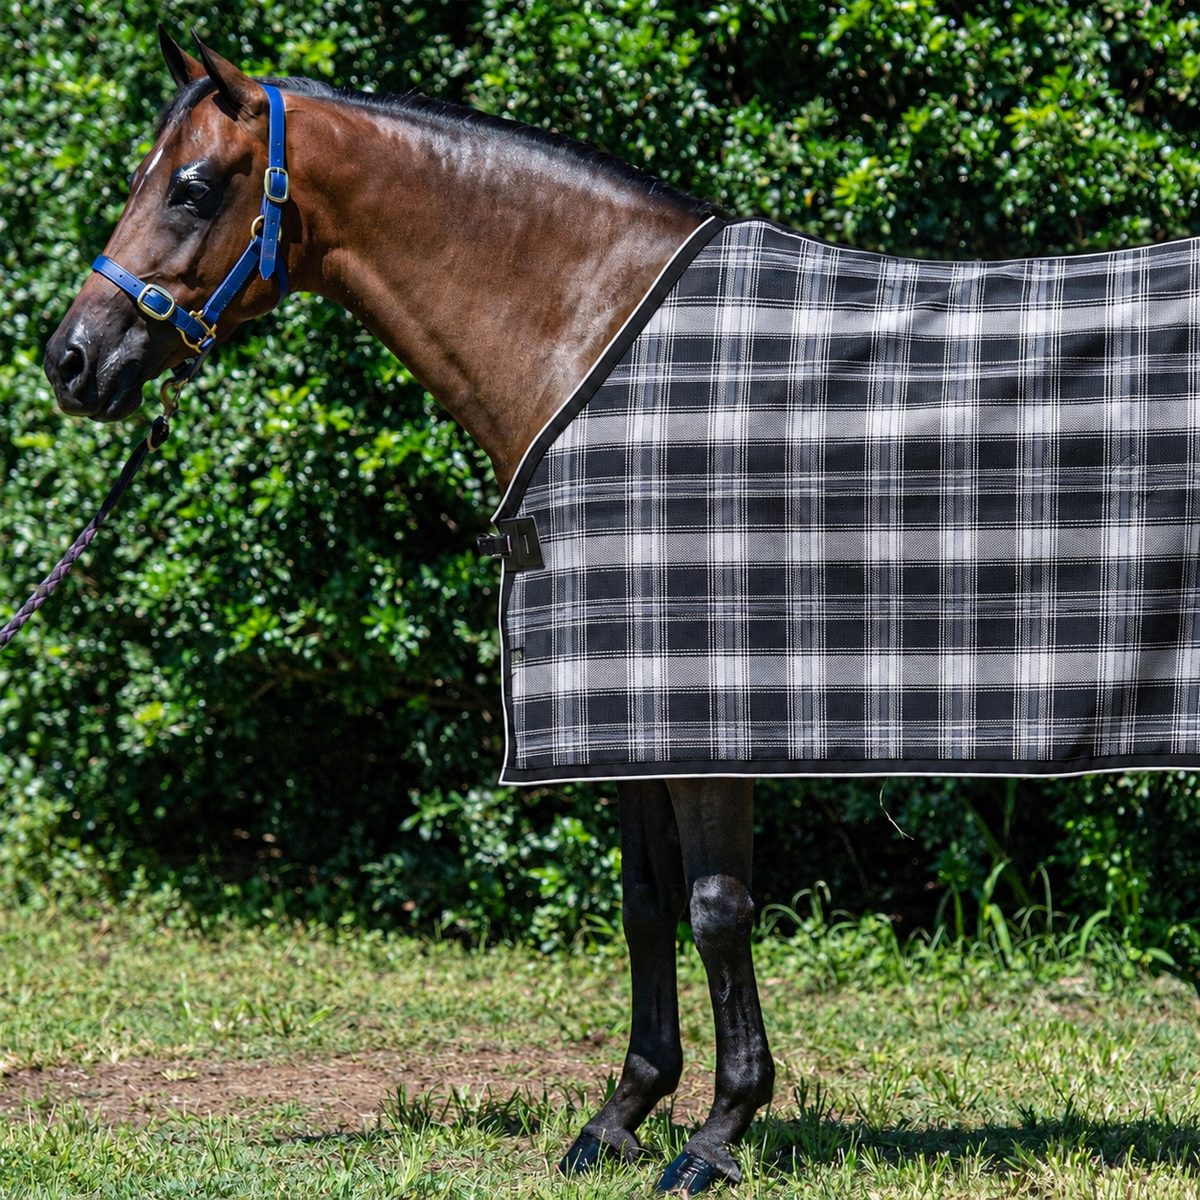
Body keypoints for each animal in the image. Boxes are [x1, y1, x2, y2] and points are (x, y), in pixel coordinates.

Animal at [44, 30, 770, 1195]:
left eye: (191, 187)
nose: (69, 360)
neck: (604, 347)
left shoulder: (708, 707)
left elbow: (716, 907)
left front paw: (716, 1135)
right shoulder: (620, 704)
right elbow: (646, 898)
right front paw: (621, 1116)